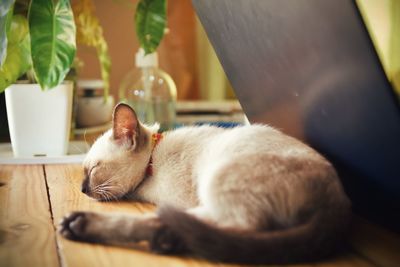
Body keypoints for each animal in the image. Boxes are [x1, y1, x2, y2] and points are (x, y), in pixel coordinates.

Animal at [59, 103, 350, 264]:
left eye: (93, 170)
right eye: (85, 172)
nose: (83, 189)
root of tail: (338, 200)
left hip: (215, 181)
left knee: (236, 228)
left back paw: (78, 224)